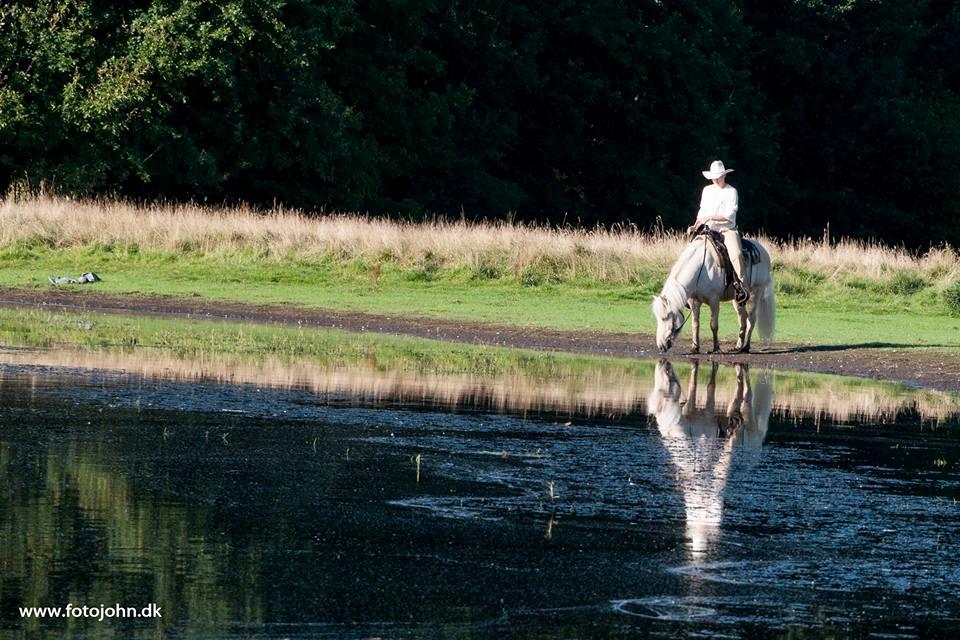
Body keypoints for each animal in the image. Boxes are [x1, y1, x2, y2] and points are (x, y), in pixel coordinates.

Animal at [648, 236, 776, 356]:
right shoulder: (694, 301)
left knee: (751, 319)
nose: (661, 346)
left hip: (755, 292)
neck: (701, 268)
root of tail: (763, 251)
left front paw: (716, 348)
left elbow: (713, 325)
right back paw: (738, 346)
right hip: (738, 299)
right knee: (742, 319)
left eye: (666, 318)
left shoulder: (714, 300)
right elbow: (695, 324)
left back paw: (746, 347)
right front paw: (695, 347)